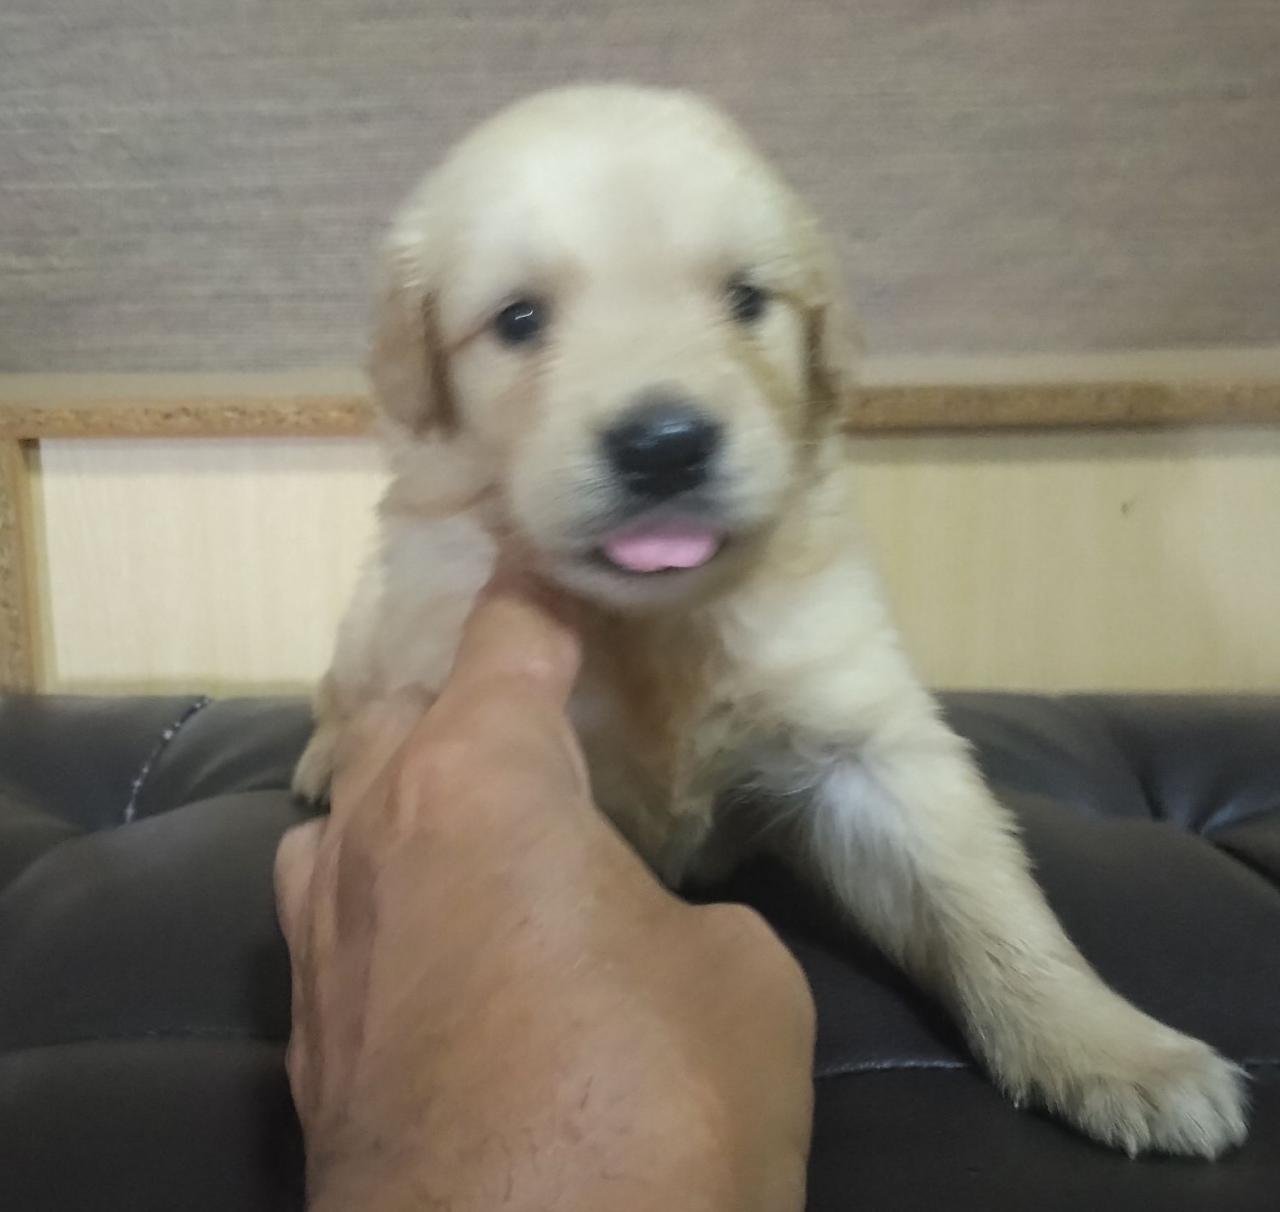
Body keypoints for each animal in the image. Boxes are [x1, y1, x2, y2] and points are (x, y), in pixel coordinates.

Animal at [295, 85, 1247, 1158]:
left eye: (746, 300)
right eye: (519, 319)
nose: (664, 446)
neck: (659, 628)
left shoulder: (866, 744)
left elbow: (985, 898)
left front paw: (1116, 1047)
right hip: (363, 626)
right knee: (335, 694)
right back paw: (322, 759)